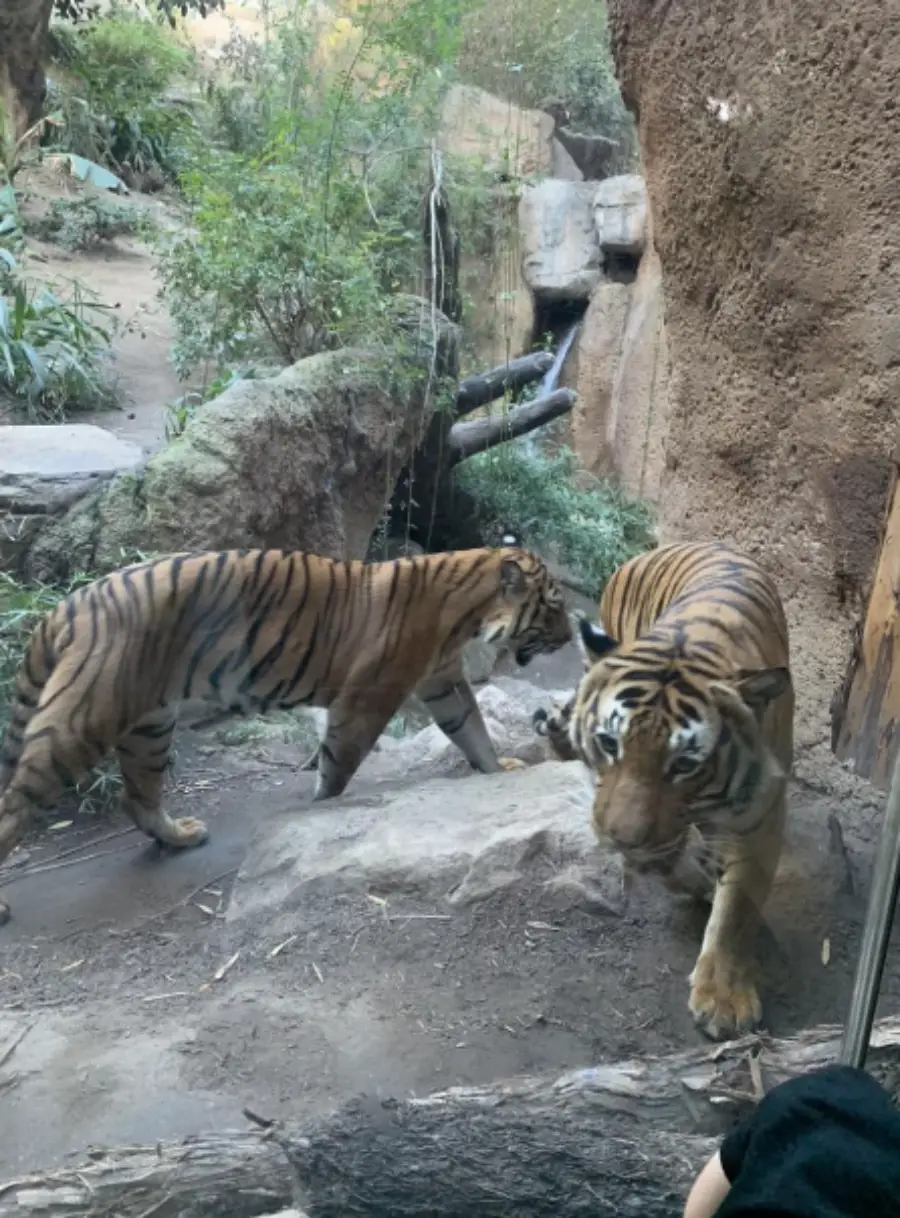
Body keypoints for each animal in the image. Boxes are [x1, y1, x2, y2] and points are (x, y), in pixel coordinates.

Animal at [0, 545, 572, 925]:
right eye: (553, 606)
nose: (571, 637)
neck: (466, 611)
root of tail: (66, 606)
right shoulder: (367, 699)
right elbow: (337, 767)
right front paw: (319, 817)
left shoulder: (444, 682)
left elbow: (472, 731)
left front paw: (500, 771)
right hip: (83, 721)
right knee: (18, 799)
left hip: (150, 724)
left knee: (136, 797)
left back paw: (180, 835)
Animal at [532, 541, 793, 1042]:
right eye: (609, 743)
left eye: (685, 764)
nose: (620, 839)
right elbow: (678, 866)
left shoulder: (760, 810)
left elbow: (739, 908)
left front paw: (724, 999)